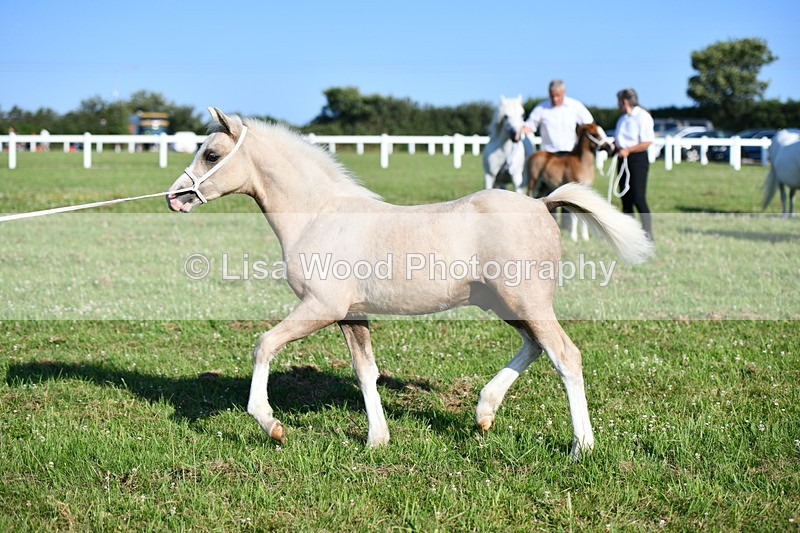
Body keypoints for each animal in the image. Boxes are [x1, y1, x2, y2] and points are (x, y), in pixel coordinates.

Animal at [166, 108, 654, 460]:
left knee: (565, 356)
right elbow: (366, 371)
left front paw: (271, 425)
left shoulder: (320, 307)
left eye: (211, 155)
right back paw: (484, 412)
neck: (320, 214)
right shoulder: (350, 315)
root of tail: (542, 204)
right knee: (535, 347)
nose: (175, 198)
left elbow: (264, 344)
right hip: (505, 305)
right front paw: (377, 439)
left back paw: (580, 447)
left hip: (527, 303)